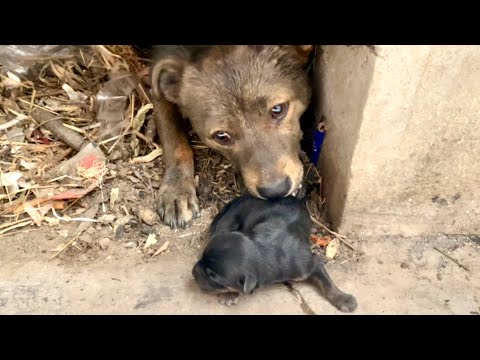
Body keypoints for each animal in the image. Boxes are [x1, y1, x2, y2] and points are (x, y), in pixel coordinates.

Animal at [191, 194, 356, 312]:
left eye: (212, 275)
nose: (192, 272)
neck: (261, 249)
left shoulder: (310, 264)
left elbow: (327, 282)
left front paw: (343, 298)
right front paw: (229, 293)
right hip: (227, 222)